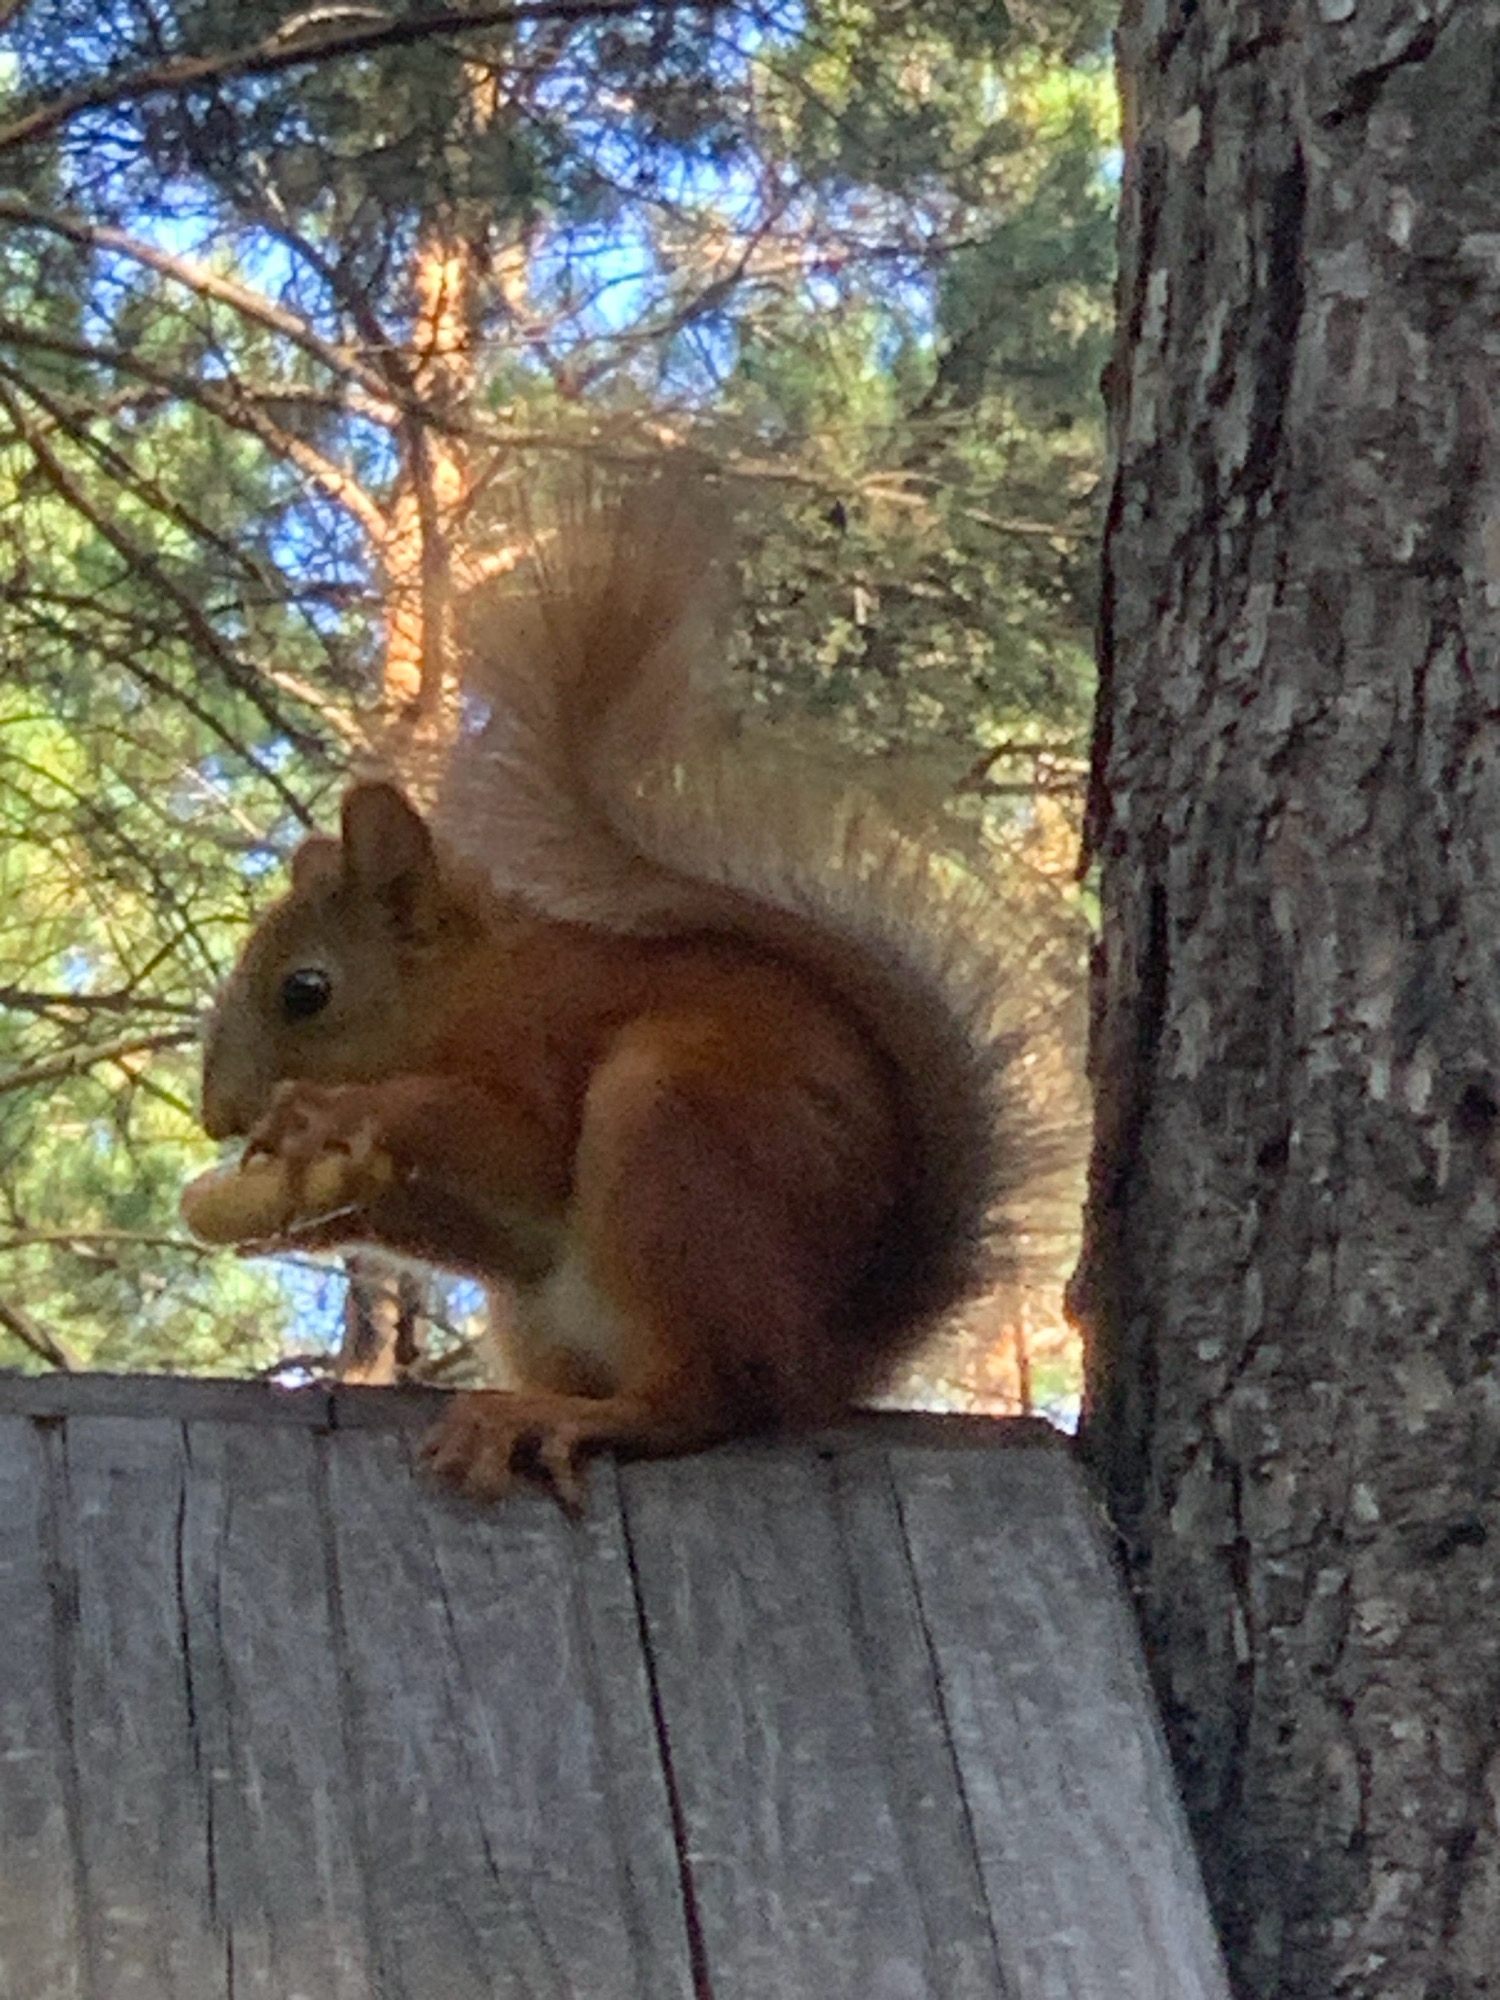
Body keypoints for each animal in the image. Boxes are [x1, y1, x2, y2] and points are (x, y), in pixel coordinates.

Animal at [193, 481, 1038, 1505]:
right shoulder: (500, 1234)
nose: (217, 1115)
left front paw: (334, 1112)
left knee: (706, 1399)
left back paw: (565, 1418)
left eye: (306, 991)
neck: (465, 993)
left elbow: (518, 1148)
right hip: (543, 1309)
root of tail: (822, 1360)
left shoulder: (542, 1041)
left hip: (670, 1141)